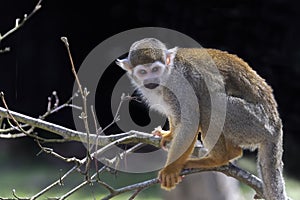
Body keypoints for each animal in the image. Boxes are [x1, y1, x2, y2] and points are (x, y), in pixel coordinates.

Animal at [116, 38, 288, 200]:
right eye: (143, 72)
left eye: (155, 69)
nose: (151, 80)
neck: (166, 77)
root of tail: (276, 128)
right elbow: (176, 115)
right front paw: (169, 134)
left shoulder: (179, 84)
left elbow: (191, 120)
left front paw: (170, 169)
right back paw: (231, 152)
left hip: (255, 122)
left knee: (208, 103)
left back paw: (218, 158)